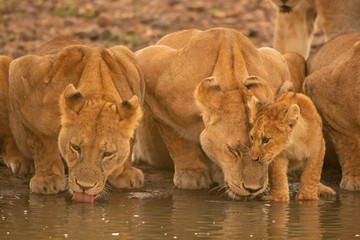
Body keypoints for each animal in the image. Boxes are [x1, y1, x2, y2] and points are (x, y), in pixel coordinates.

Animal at [1, 36, 146, 200]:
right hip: (5, 62)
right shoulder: (21, 72)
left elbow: (131, 140)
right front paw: (48, 179)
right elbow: (40, 142)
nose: (85, 186)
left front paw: (125, 173)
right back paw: (21, 162)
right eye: (75, 147)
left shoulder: (130, 64)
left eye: (107, 154)